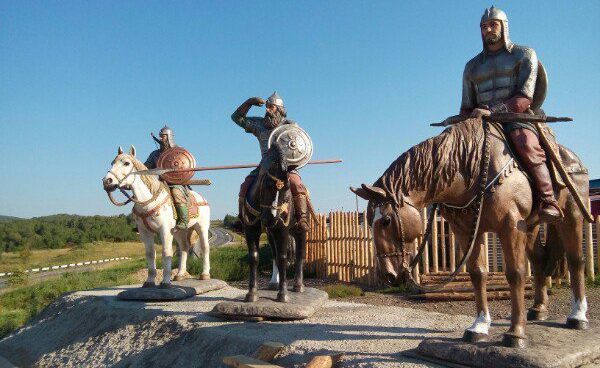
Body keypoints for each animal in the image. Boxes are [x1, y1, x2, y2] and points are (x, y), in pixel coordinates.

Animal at [101, 145, 209, 286]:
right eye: (112, 163)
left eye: (126, 163)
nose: (107, 181)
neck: (148, 201)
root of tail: (202, 199)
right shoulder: (145, 232)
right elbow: (150, 253)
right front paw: (150, 280)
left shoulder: (165, 230)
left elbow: (166, 252)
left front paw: (165, 281)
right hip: (180, 232)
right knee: (184, 248)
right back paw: (180, 274)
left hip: (201, 227)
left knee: (205, 247)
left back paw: (205, 274)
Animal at [240, 145, 308, 304]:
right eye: (267, 185)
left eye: (287, 188)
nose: (272, 218)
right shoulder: (251, 229)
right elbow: (254, 257)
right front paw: (252, 293)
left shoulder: (281, 230)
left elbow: (283, 257)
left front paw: (283, 294)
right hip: (271, 234)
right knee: (274, 255)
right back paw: (274, 283)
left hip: (299, 231)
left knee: (300, 254)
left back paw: (298, 285)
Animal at [352, 118, 592, 348]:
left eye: (386, 220)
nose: (388, 275)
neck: (471, 171)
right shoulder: (467, 230)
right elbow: (478, 274)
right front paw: (479, 327)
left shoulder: (511, 225)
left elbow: (516, 273)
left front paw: (516, 333)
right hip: (532, 226)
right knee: (540, 259)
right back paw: (539, 310)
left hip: (571, 216)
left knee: (575, 260)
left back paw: (578, 316)